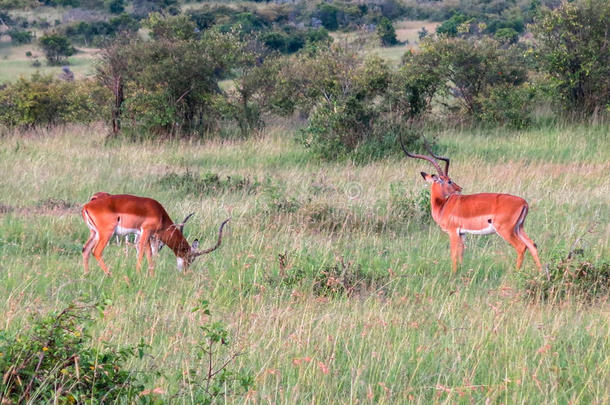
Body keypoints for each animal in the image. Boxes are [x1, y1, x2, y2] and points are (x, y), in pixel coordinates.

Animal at [82, 194, 229, 276]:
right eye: (190, 258)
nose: (184, 272)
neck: (160, 214)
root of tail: (87, 206)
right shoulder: (145, 232)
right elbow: (141, 253)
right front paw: (138, 274)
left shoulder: (150, 236)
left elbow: (150, 255)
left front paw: (151, 276)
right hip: (106, 233)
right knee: (96, 251)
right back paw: (109, 274)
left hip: (94, 233)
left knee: (85, 249)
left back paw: (87, 275)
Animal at [402, 137, 540, 274]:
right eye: (449, 181)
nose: (459, 188)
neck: (443, 206)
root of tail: (524, 202)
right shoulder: (462, 233)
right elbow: (461, 253)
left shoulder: (453, 232)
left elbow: (453, 254)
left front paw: (453, 274)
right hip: (519, 228)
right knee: (532, 245)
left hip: (506, 230)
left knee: (521, 247)